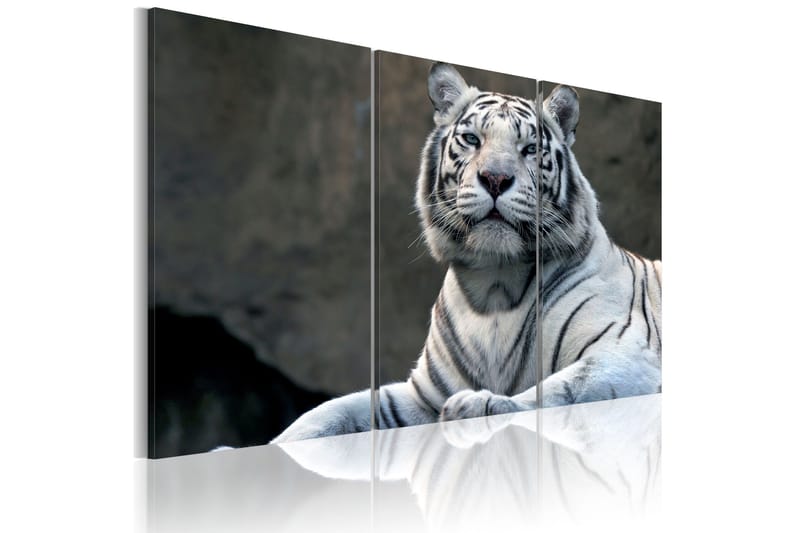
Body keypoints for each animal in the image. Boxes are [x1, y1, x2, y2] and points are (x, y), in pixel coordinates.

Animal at [272, 62, 661, 443]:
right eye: (473, 139)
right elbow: (331, 412)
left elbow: (557, 391)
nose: (496, 178)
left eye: (530, 148)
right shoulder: (422, 395)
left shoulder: (625, 355)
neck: (495, 285)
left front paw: (478, 404)